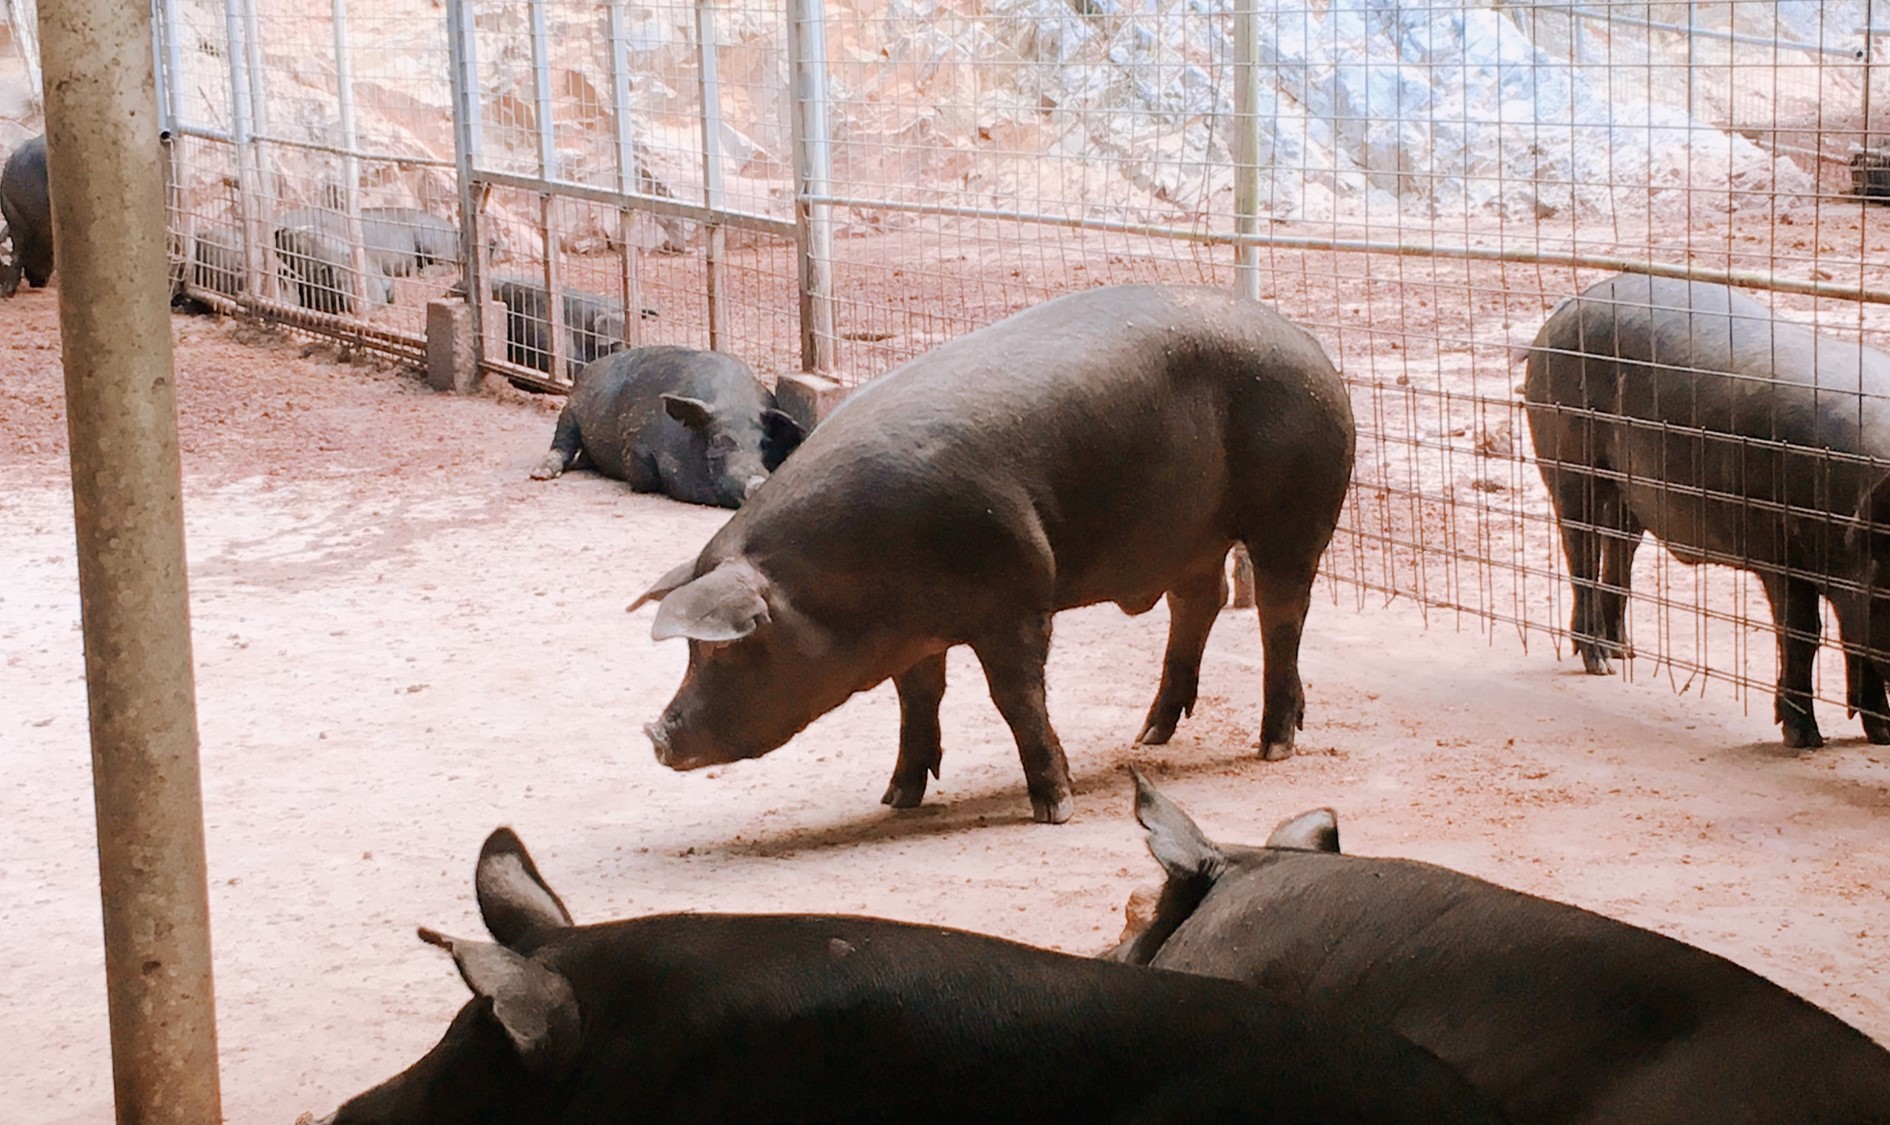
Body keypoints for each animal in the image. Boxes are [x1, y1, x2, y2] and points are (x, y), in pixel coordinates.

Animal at [532, 347, 805, 510]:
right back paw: (540, 474)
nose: (757, 481)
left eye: (765, 443)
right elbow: (643, 475)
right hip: (569, 410)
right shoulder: (635, 438)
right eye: (718, 440)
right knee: (562, 442)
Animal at [631, 285, 1360, 824]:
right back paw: (1150, 735)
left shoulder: (1017, 595)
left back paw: (1273, 746)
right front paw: (896, 799)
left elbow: (1017, 698)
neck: (842, 584)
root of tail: (1313, 347)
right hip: (1190, 536)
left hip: (1294, 517)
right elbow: (916, 700)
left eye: (724, 650)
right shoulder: (913, 635)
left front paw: (1054, 808)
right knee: (1199, 602)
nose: (655, 735)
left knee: (1280, 614)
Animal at [1527, 272, 1890, 748]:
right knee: (1581, 553)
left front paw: (1882, 733)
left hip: (1628, 491)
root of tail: (1563, 310)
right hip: (1568, 463)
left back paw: (1625, 652)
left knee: (1620, 548)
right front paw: (1804, 738)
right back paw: (1600, 662)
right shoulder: (1776, 551)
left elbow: (1856, 642)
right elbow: (1802, 634)